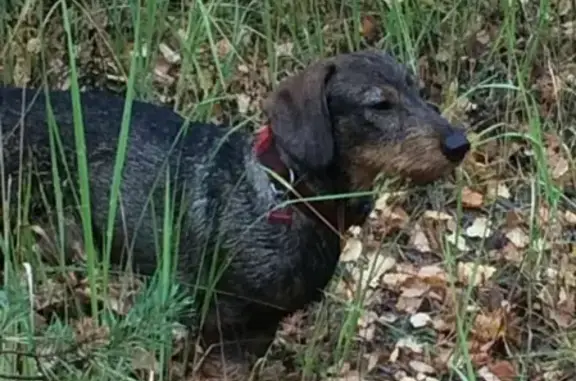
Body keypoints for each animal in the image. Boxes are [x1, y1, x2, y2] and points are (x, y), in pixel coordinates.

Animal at [0, 49, 468, 376]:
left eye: (418, 92)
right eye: (380, 105)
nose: (459, 144)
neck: (290, 197)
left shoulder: (260, 330)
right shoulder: (223, 331)